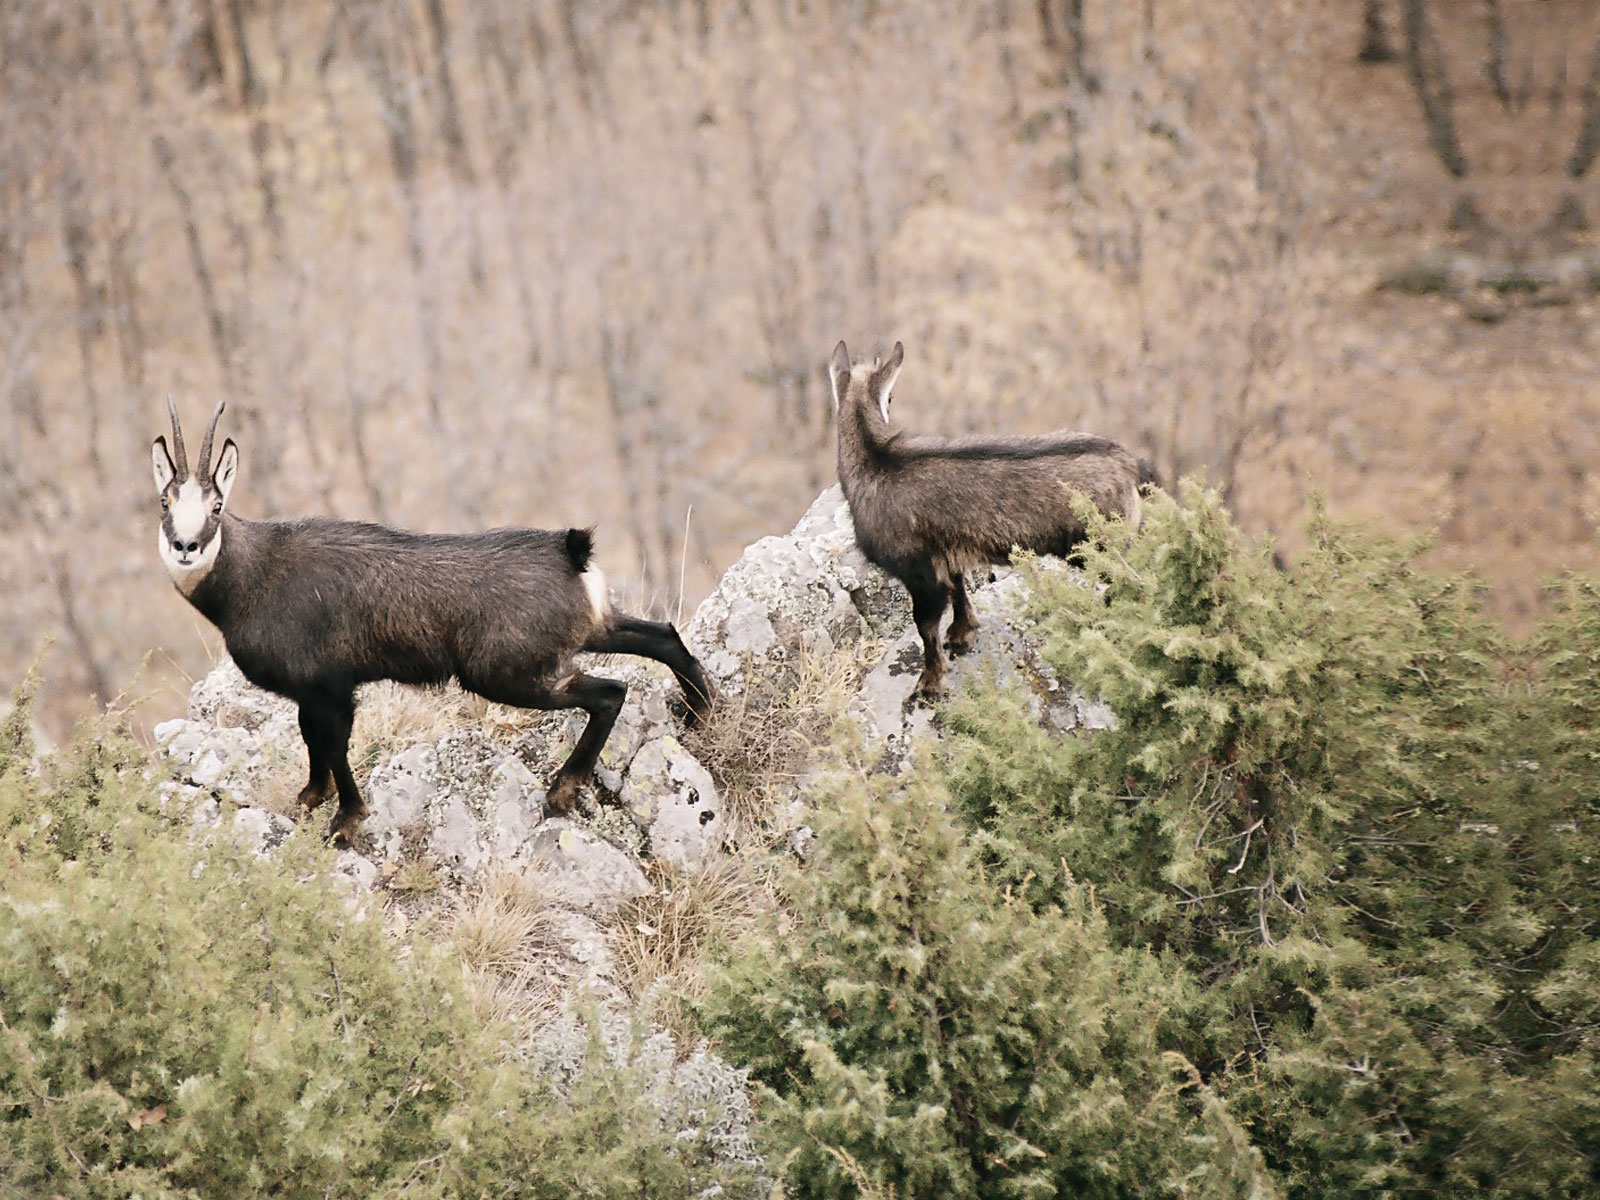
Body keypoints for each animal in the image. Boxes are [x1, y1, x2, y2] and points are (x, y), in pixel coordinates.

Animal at [151, 401, 714, 842]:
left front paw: (346, 822)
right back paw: (701, 711)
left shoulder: (329, 685)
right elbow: (312, 741)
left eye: (217, 505)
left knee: (610, 692)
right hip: (586, 632)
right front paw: (312, 797)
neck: (251, 577)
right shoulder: (314, 691)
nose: (185, 545)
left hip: (508, 673)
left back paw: (561, 791)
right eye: (165, 501)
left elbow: (332, 745)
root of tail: (571, 553)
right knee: (663, 637)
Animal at [829, 340, 1152, 700]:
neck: (876, 465)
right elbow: (958, 591)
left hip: (1101, 547)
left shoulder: (918, 571)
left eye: (891, 398)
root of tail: (1131, 466)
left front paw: (930, 683)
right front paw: (961, 633)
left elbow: (925, 625)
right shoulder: (946, 555)